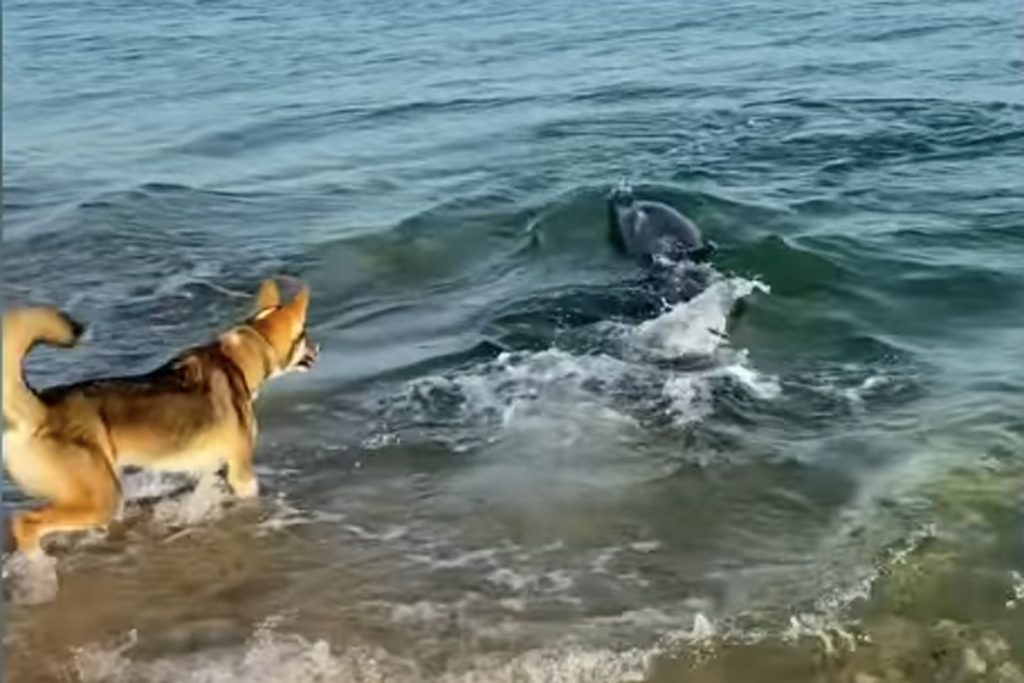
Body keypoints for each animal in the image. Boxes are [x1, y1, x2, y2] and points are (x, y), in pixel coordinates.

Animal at [2, 278, 317, 557]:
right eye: (306, 336)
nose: (318, 349)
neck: (242, 356)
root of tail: (41, 407)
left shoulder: (212, 467)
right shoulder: (241, 472)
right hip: (102, 499)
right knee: (23, 524)